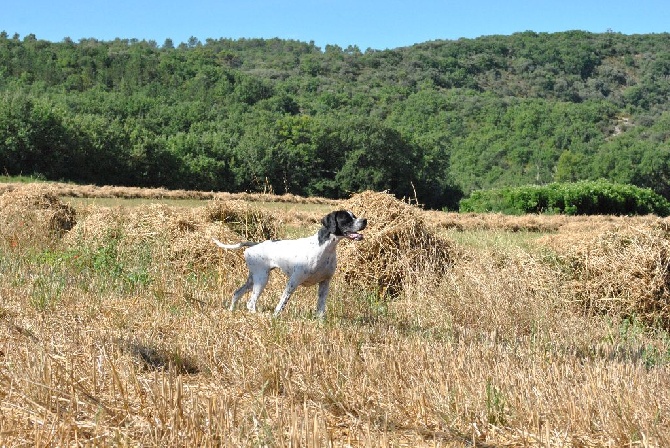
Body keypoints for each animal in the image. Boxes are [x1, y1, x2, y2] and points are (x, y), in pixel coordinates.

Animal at [214, 209, 368, 316]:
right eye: (346, 219)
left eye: (354, 216)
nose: (365, 220)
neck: (324, 249)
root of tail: (255, 245)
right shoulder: (293, 281)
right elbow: (281, 304)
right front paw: (274, 318)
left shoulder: (325, 283)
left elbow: (320, 309)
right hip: (261, 279)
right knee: (250, 303)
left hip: (253, 280)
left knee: (236, 294)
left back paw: (231, 311)